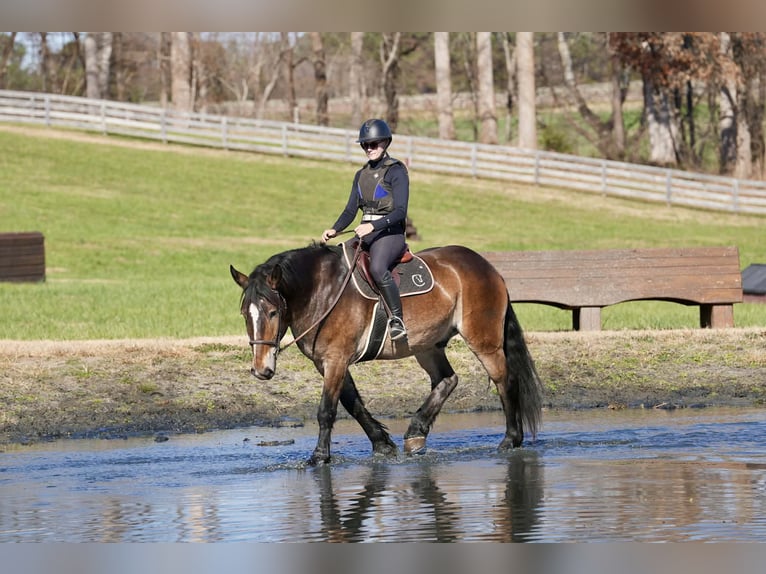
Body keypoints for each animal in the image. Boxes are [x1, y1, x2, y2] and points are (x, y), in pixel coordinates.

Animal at [230, 242, 543, 465]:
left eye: (272, 312)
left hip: (483, 341)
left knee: (505, 381)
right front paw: (382, 444)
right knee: (447, 380)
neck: (321, 291)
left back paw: (511, 439)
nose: (260, 369)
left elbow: (327, 410)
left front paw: (319, 456)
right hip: (426, 345)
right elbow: (353, 404)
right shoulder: (328, 362)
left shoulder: (336, 360)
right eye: (245, 313)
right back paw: (416, 433)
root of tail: (486, 266)